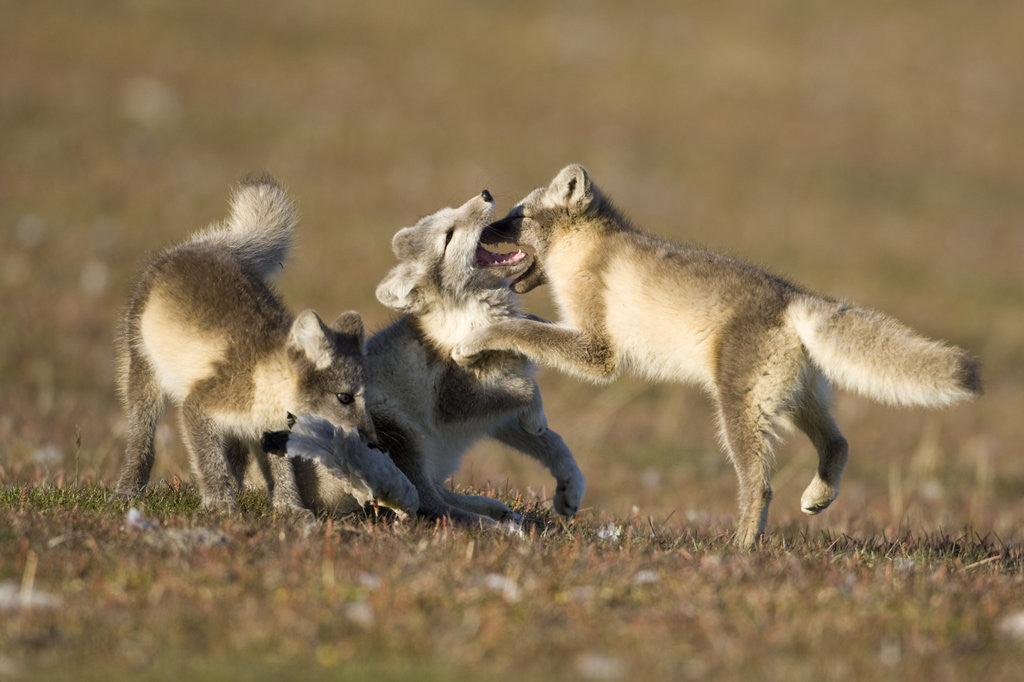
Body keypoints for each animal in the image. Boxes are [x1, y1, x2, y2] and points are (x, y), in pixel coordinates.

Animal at [114, 174, 377, 512]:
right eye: (344, 397)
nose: (373, 443)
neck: (264, 377)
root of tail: (201, 245)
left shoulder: (270, 430)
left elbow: (282, 470)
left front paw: (290, 508)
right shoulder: (198, 406)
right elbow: (210, 462)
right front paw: (221, 505)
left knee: (237, 455)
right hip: (144, 372)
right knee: (142, 438)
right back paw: (128, 490)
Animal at [316, 189, 585, 526]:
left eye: (451, 212)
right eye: (448, 237)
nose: (485, 193)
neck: (473, 315)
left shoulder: (492, 412)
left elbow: (553, 441)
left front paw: (571, 486)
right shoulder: (455, 402)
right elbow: (527, 390)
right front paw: (536, 417)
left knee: (437, 492)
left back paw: (497, 509)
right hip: (398, 434)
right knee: (426, 504)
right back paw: (493, 526)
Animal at [454, 164, 982, 548]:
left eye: (518, 215)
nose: (485, 229)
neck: (586, 252)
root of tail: (794, 299)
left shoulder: (597, 350)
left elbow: (527, 329)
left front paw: (478, 336)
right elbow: (532, 326)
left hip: (741, 410)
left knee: (762, 485)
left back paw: (741, 547)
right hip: (797, 399)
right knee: (839, 443)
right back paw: (816, 499)